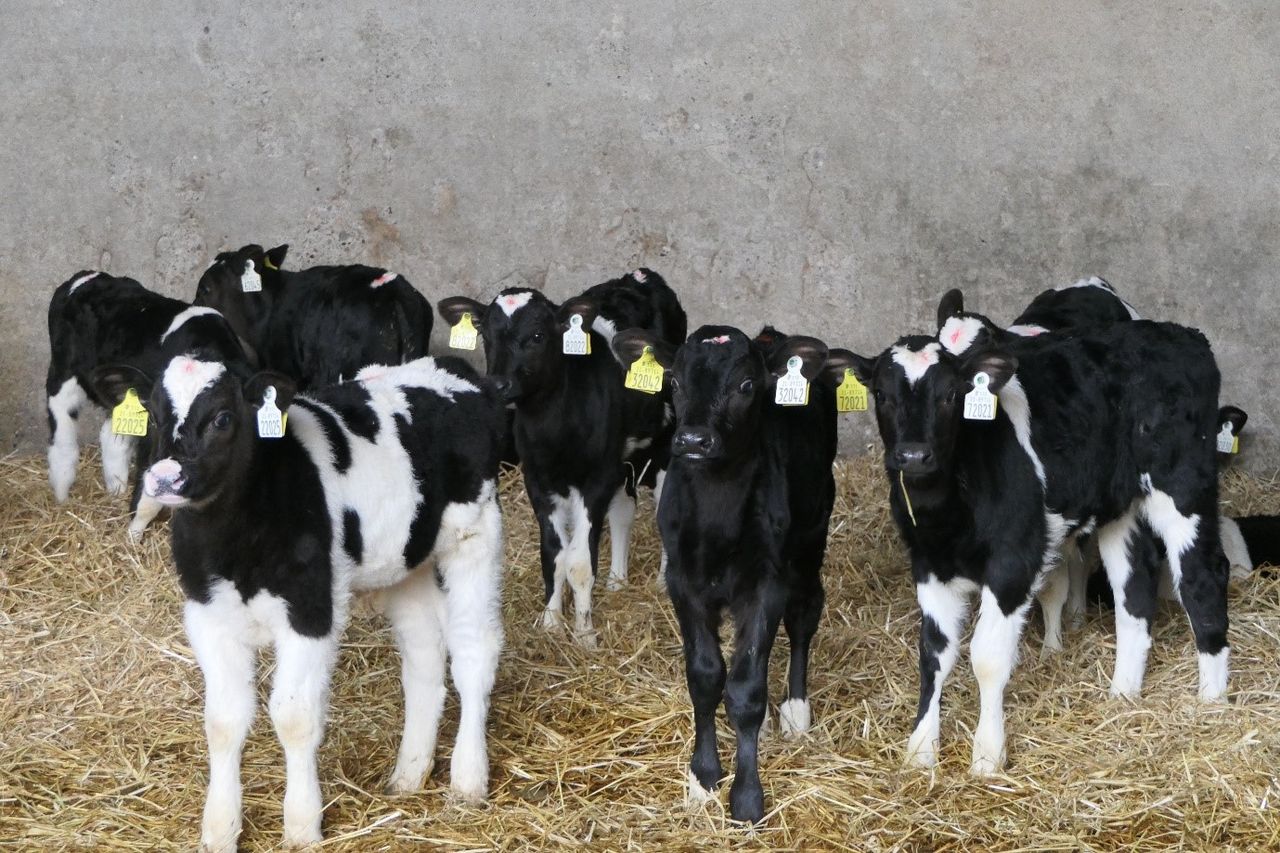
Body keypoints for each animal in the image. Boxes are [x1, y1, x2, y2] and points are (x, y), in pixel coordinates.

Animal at [45, 270, 250, 539]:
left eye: (223, 419)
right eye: (154, 417)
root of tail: (85, 276)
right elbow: (148, 501)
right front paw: (132, 537)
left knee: (110, 436)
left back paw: (116, 489)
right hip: (64, 374)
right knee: (62, 433)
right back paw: (62, 493)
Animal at [89, 352, 505, 852]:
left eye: (223, 417)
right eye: (152, 414)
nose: (166, 477)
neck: (235, 544)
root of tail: (448, 367)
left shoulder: (311, 611)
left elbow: (294, 717)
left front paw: (302, 826)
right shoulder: (207, 615)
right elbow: (223, 722)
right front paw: (219, 828)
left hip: (475, 537)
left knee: (473, 653)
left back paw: (468, 780)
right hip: (409, 562)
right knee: (423, 659)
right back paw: (408, 774)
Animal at [436, 269, 686, 647]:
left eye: (538, 335)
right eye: (484, 334)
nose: (499, 384)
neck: (554, 427)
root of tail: (640, 275)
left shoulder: (594, 481)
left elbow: (579, 562)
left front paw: (584, 634)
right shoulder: (539, 481)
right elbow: (553, 555)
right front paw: (551, 622)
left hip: (662, 444)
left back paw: (660, 581)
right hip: (620, 461)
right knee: (623, 511)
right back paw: (617, 581)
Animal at [611, 324, 840, 824]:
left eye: (747, 385)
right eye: (675, 381)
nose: (694, 441)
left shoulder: (766, 585)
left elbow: (746, 689)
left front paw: (748, 797)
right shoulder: (683, 581)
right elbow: (705, 676)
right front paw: (703, 777)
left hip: (811, 537)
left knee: (805, 615)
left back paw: (795, 707)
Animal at [845, 302, 1228, 777]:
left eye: (951, 394)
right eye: (881, 394)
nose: (913, 455)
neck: (948, 512)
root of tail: (1183, 334)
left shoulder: (1014, 561)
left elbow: (987, 658)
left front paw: (987, 754)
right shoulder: (928, 564)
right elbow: (934, 655)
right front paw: (920, 750)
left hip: (1183, 486)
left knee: (1202, 577)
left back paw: (1211, 700)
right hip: (1120, 506)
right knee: (1134, 588)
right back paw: (1123, 693)